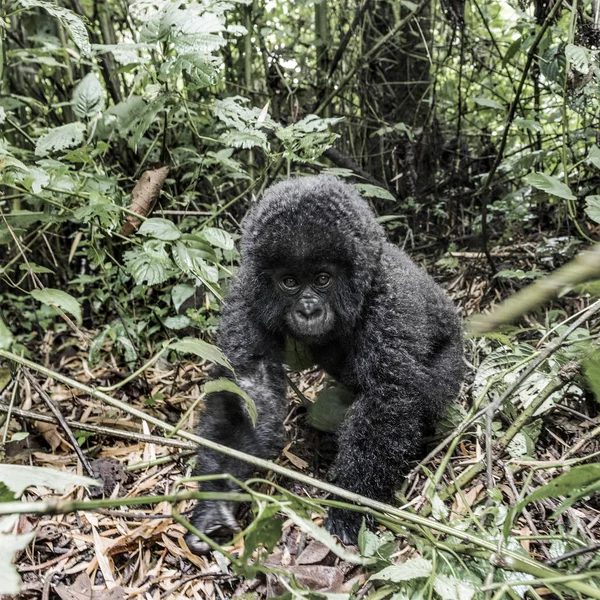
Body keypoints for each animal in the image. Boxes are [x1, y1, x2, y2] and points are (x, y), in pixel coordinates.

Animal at [188, 173, 464, 552]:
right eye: (289, 281)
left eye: (322, 279)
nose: (308, 310)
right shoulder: (248, 295)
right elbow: (249, 388)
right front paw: (216, 497)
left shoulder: (390, 300)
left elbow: (388, 398)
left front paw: (350, 505)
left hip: (456, 359)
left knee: (432, 390)